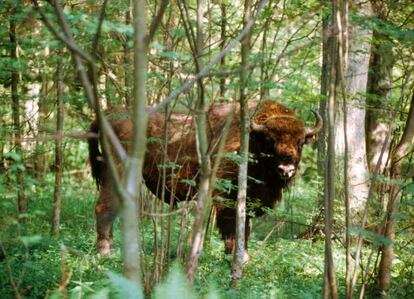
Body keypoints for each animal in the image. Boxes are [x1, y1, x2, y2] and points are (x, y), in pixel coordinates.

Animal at [89, 100, 324, 255]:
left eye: (301, 142)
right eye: (269, 141)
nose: (286, 169)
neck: (251, 139)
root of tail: (108, 114)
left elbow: (245, 228)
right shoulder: (228, 194)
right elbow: (231, 226)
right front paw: (234, 257)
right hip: (117, 171)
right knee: (104, 207)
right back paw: (105, 253)